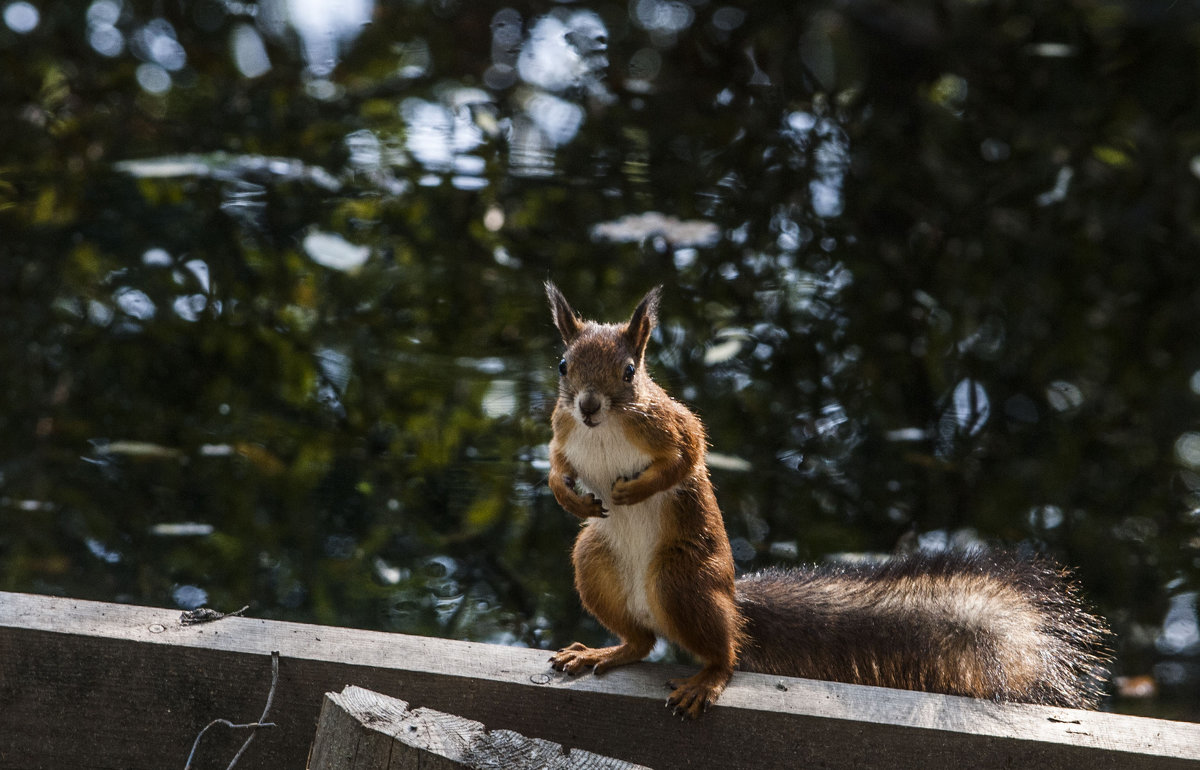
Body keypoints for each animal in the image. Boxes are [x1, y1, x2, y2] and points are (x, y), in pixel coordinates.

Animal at [542, 280, 1104, 714]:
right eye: (563, 364)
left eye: (629, 370)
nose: (589, 406)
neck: (601, 429)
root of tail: (732, 600)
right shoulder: (562, 429)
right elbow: (556, 464)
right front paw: (568, 496)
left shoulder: (670, 424)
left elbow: (690, 454)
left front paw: (636, 487)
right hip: (594, 561)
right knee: (641, 642)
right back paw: (603, 653)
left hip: (683, 580)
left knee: (726, 654)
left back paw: (708, 678)